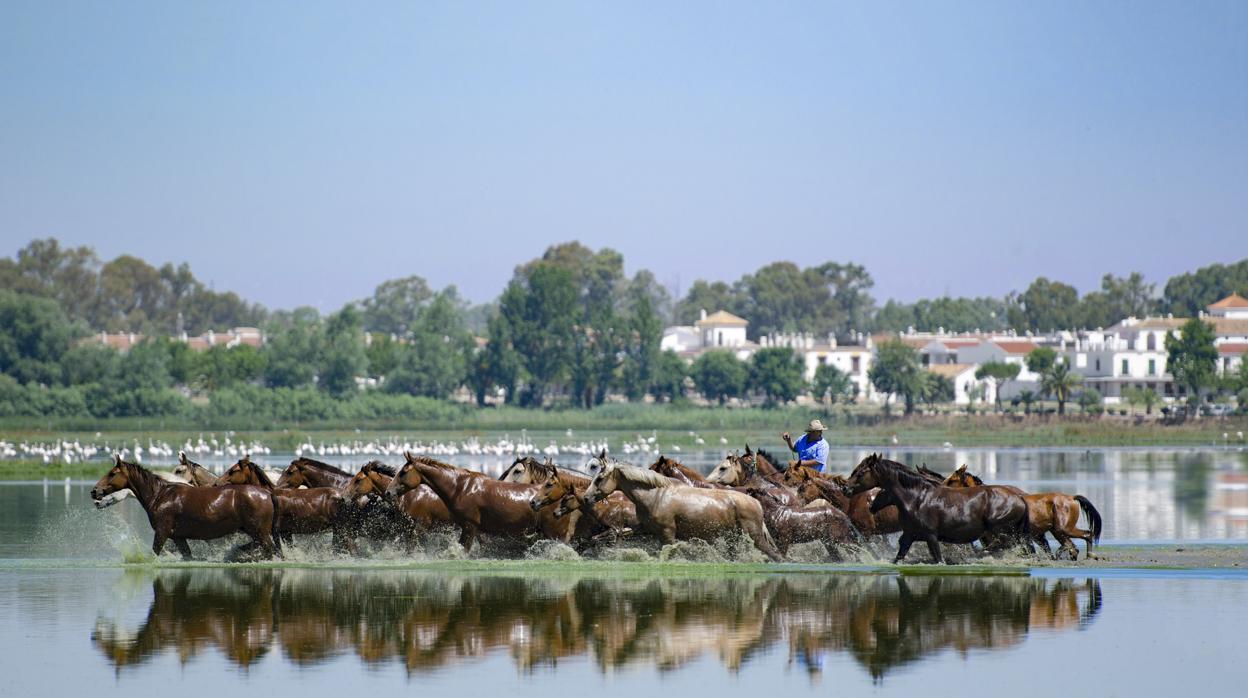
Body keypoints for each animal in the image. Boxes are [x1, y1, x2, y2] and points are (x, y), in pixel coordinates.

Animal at [91, 457, 282, 559]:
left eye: (112, 473)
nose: (94, 492)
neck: (160, 495)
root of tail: (267, 494)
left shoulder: (162, 533)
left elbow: (154, 554)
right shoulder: (178, 537)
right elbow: (187, 555)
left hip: (261, 534)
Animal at [214, 459, 356, 551]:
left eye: (233, 470)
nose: (217, 483)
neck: (268, 495)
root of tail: (345, 497)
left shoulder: (279, 532)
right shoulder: (285, 533)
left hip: (341, 529)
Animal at [581, 464, 778, 561]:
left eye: (599, 478)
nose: (586, 498)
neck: (655, 495)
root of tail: (756, 503)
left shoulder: (667, 535)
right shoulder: (645, 530)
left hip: (755, 537)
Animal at [848, 457, 1033, 564]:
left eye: (861, 472)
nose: (846, 488)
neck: (917, 498)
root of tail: (1021, 500)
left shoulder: (931, 536)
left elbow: (939, 560)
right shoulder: (909, 535)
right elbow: (899, 557)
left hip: (1002, 534)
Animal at [943, 464, 1103, 561]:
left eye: (952, 480)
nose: (941, 488)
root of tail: (1072, 497)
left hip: (1063, 529)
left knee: (1087, 535)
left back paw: (1090, 555)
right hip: (1057, 531)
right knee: (1072, 547)